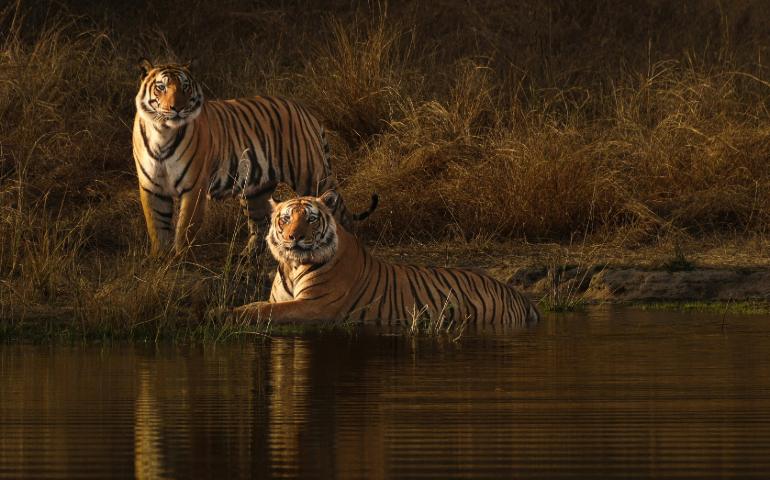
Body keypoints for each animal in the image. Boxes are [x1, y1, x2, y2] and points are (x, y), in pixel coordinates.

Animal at [132, 59, 376, 256]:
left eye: (185, 86)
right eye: (161, 87)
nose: (177, 108)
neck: (162, 133)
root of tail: (304, 110)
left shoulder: (194, 188)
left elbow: (185, 227)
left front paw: (180, 257)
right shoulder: (151, 187)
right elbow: (156, 225)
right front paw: (161, 260)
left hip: (312, 177)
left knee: (337, 212)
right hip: (255, 189)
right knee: (260, 224)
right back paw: (248, 256)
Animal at [231, 190, 541, 325]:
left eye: (310, 218)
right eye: (285, 219)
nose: (293, 237)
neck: (292, 265)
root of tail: (517, 294)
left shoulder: (314, 306)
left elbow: (262, 311)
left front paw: (224, 314)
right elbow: (261, 305)